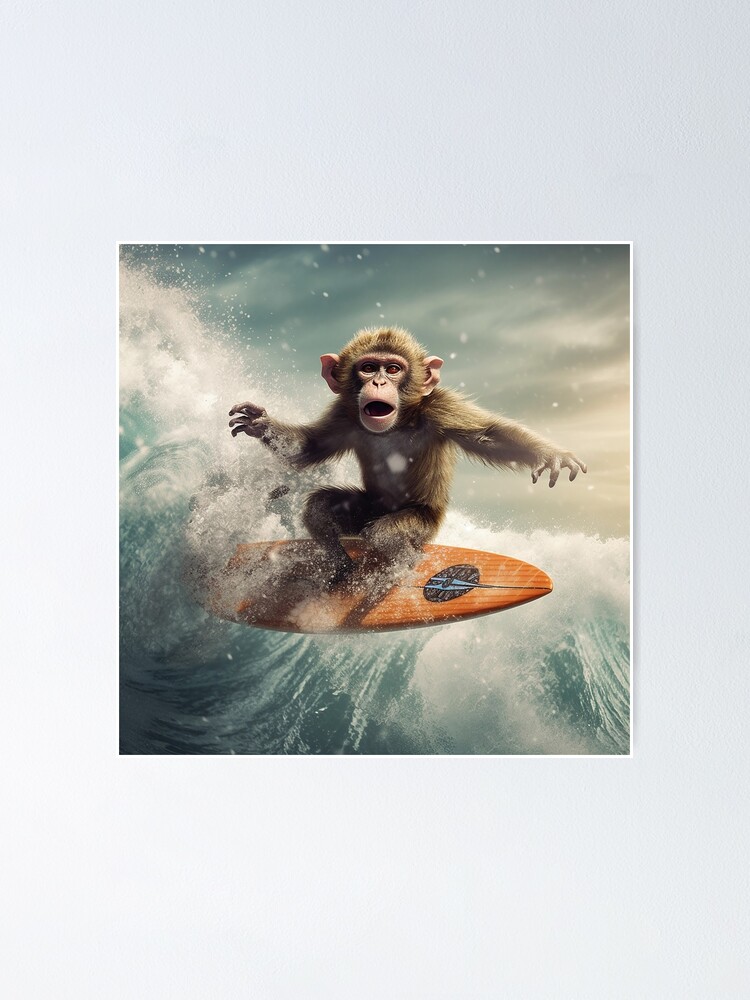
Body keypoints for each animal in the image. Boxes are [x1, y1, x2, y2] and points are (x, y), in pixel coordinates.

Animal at [228, 326, 586, 596]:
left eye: (393, 369)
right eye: (368, 367)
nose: (379, 382)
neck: (399, 421)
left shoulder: (441, 406)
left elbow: (488, 435)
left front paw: (551, 454)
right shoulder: (344, 414)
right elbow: (309, 448)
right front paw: (260, 424)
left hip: (426, 522)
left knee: (385, 534)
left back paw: (401, 569)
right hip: (370, 506)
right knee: (323, 507)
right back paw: (345, 564)